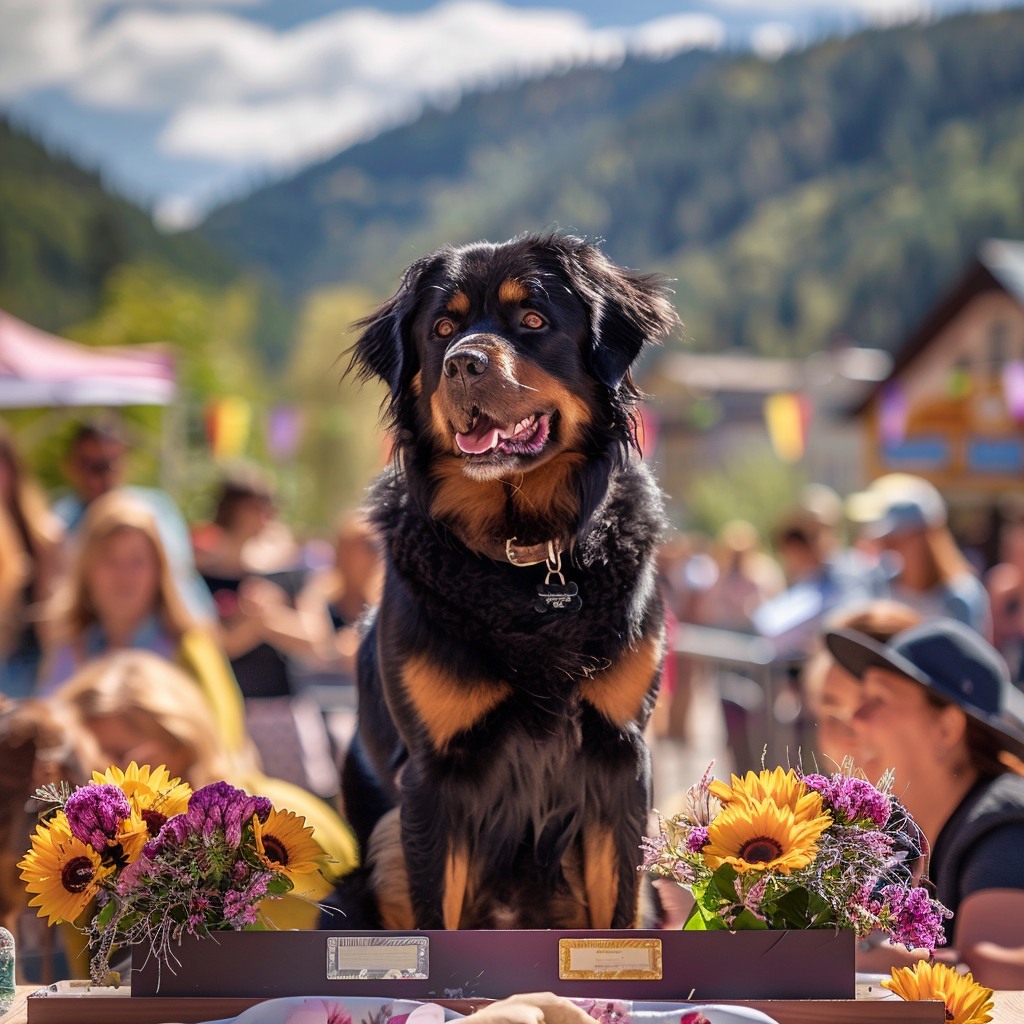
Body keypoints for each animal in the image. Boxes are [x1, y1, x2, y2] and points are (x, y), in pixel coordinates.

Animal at [337, 235, 679, 933]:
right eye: (442, 330)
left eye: (533, 319)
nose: (462, 365)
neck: (525, 553)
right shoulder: (433, 778)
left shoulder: (620, 759)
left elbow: (618, 910)